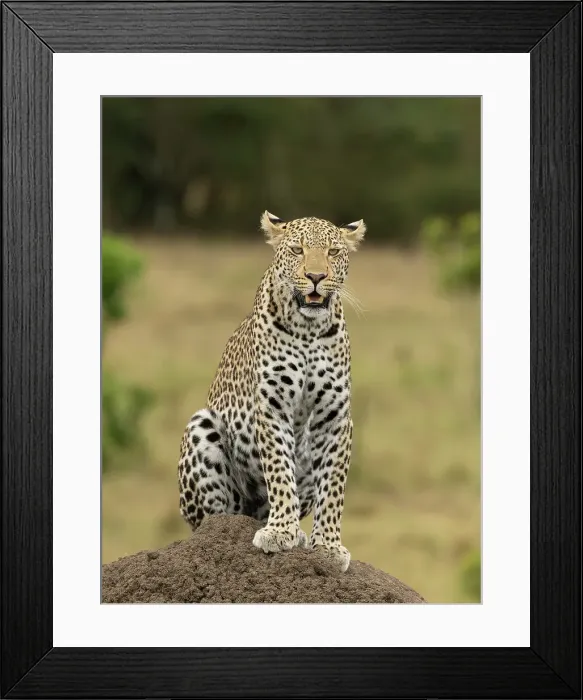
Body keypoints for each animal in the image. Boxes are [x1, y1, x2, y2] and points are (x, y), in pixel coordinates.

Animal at [177, 211, 366, 572]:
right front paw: (279, 532)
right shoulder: (272, 406)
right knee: (216, 518)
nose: (316, 276)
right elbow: (279, 469)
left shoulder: (334, 416)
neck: (308, 330)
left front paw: (328, 547)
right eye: (297, 250)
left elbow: (333, 485)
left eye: (333, 252)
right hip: (202, 428)